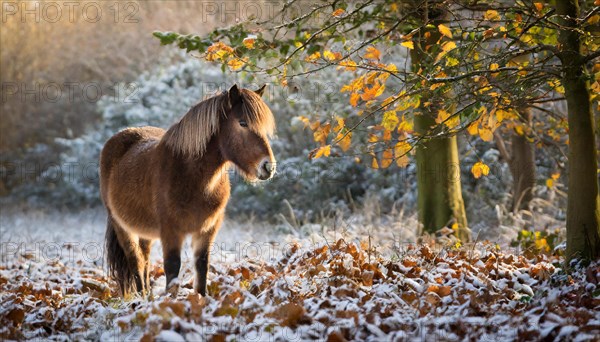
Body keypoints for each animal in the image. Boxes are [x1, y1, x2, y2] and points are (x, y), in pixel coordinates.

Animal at [100, 83, 274, 296]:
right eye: (242, 123)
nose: (268, 167)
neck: (193, 177)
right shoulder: (171, 231)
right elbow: (172, 268)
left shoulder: (207, 230)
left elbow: (202, 266)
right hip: (122, 226)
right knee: (136, 262)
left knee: (145, 259)